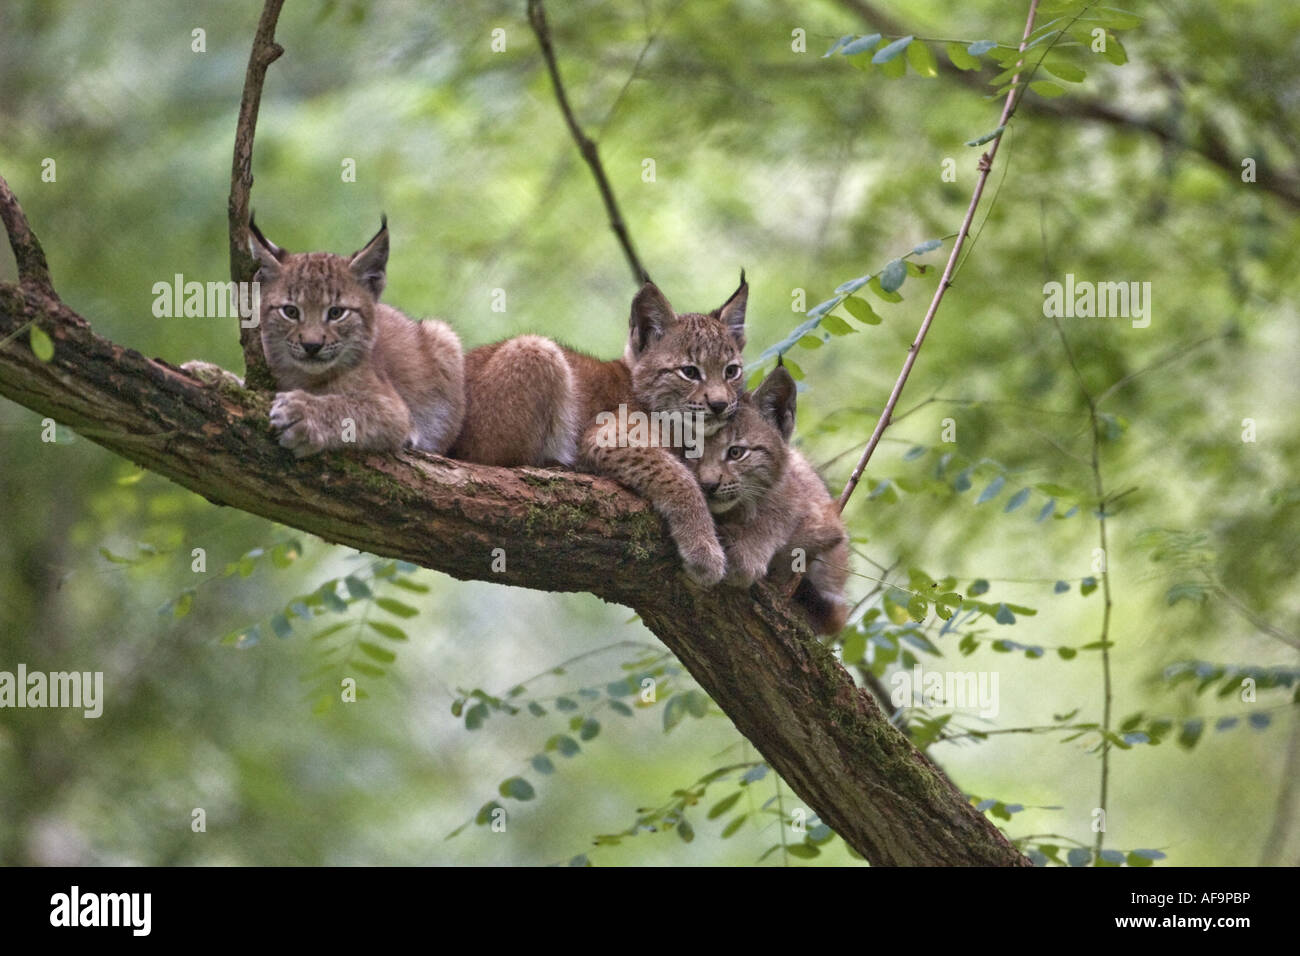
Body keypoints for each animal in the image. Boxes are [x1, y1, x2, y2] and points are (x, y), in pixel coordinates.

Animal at [245, 218, 465, 457]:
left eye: (336, 313)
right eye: (291, 312)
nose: (311, 345)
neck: (305, 376)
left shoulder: (393, 408)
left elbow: (351, 408)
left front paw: (304, 414)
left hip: (443, 335)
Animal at [691, 366, 852, 634]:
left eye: (736, 452)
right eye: (692, 452)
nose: (708, 485)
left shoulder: (828, 522)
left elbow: (781, 516)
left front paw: (748, 550)